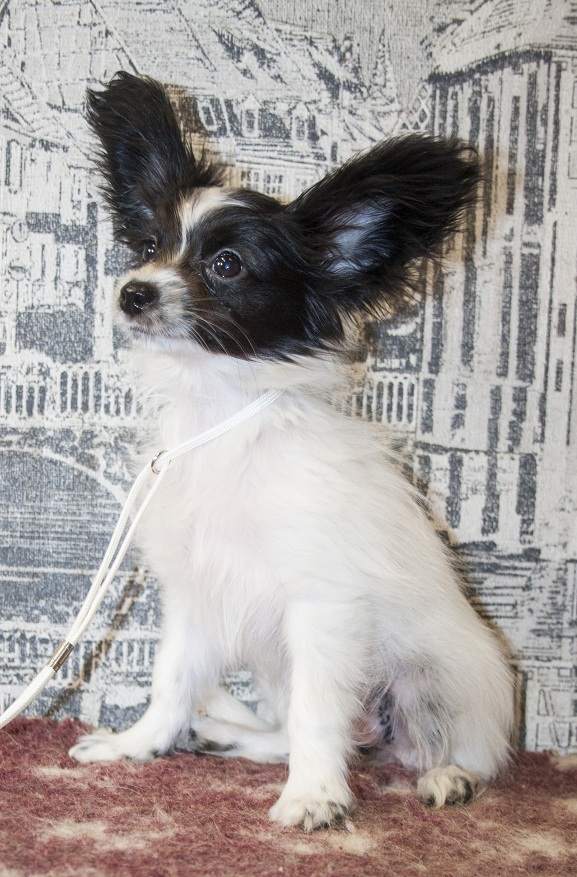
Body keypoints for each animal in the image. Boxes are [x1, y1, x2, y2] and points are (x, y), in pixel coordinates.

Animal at [69, 72, 514, 831]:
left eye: (225, 265)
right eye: (150, 243)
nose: (132, 293)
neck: (221, 415)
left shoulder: (321, 603)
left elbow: (315, 713)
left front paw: (312, 796)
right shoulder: (194, 590)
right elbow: (171, 678)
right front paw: (139, 744)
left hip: (439, 680)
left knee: (455, 748)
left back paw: (449, 776)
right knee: (312, 734)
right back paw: (227, 734)